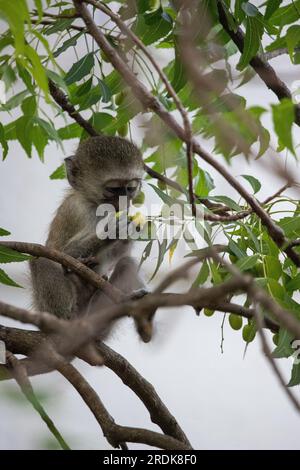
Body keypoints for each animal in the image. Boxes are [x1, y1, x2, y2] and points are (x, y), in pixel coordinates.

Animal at [29, 135, 147, 320]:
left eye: (130, 188)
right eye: (113, 189)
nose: (124, 202)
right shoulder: (80, 211)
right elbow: (67, 254)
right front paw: (112, 231)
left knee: (127, 263)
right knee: (42, 259)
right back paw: (66, 318)